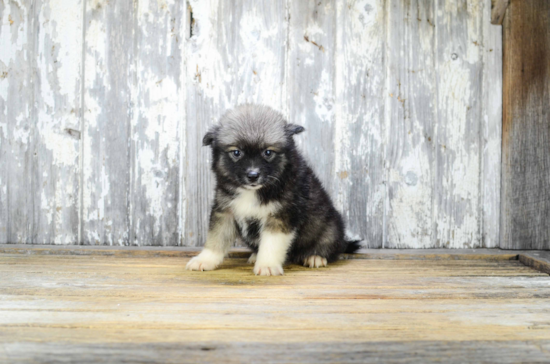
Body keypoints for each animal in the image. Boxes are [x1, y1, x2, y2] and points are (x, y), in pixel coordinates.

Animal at [188, 104, 364, 276]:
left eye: (268, 152)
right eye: (236, 152)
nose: (253, 175)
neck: (253, 192)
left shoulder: (280, 216)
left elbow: (271, 244)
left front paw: (267, 265)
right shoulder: (225, 212)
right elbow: (216, 238)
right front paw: (204, 260)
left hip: (330, 229)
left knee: (330, 248)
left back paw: (315, 257)